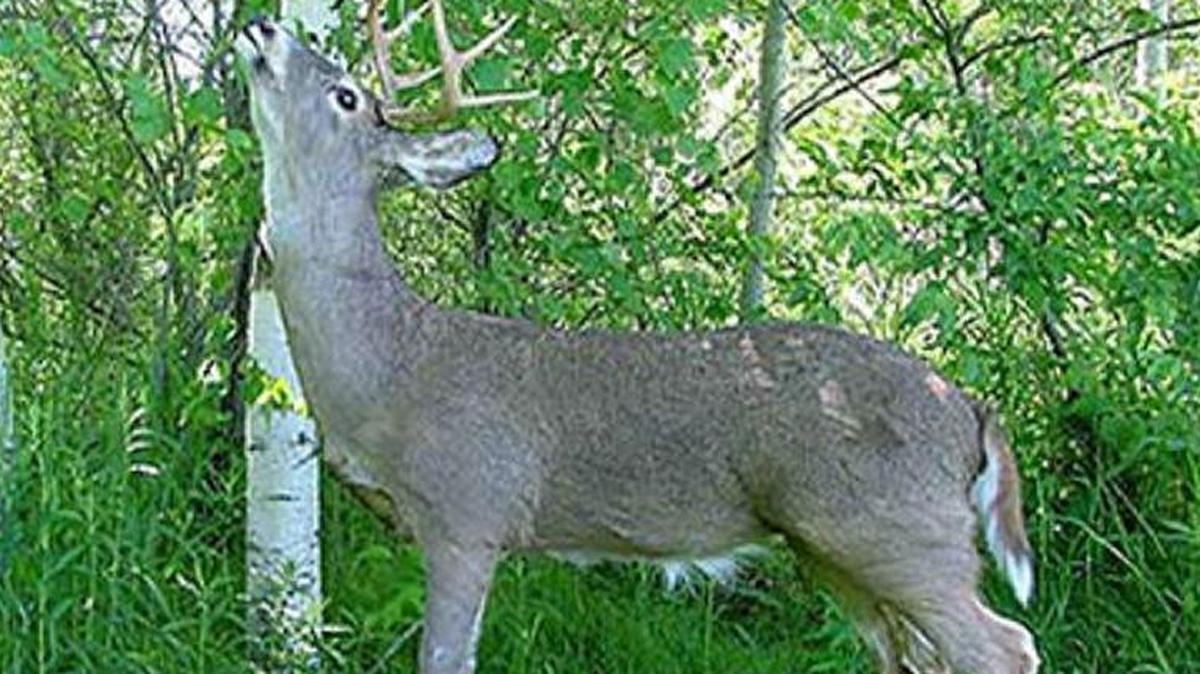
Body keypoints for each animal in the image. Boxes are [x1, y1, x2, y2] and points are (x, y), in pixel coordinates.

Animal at [235, 3, 1040, 673]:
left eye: (346, 95)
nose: (262, 26)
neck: (393, 367)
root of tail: (970, 408)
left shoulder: (469, 512)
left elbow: (444, 660)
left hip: (898, 528)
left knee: (1006, 647)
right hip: (837, 547)